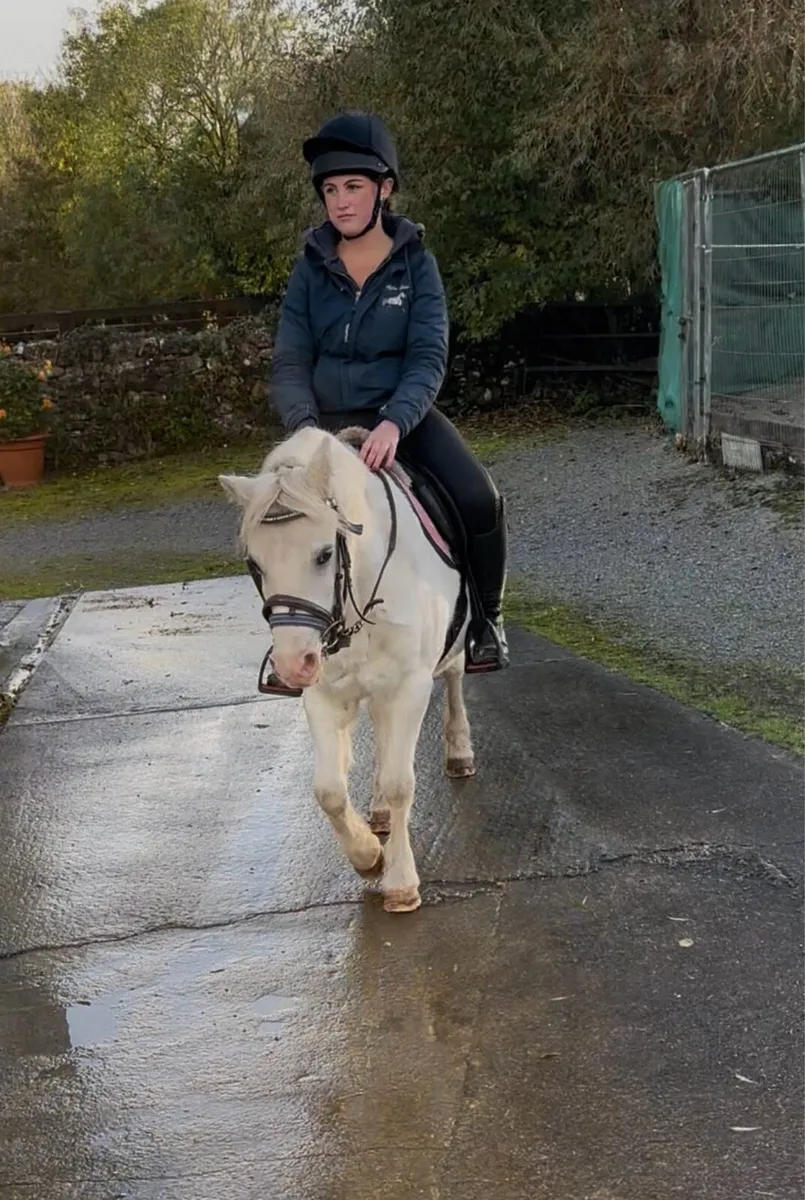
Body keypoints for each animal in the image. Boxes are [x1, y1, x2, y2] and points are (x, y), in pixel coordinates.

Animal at [219, 424, 477, 914]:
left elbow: (400, 782)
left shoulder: (410, 688)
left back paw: (459, 752)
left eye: (323, 554)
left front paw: (400, 882)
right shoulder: (324, 695)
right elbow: (329, 791)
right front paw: (367, 857)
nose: (292, 663)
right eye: (255, 564)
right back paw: (377, 815)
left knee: (454, 679)